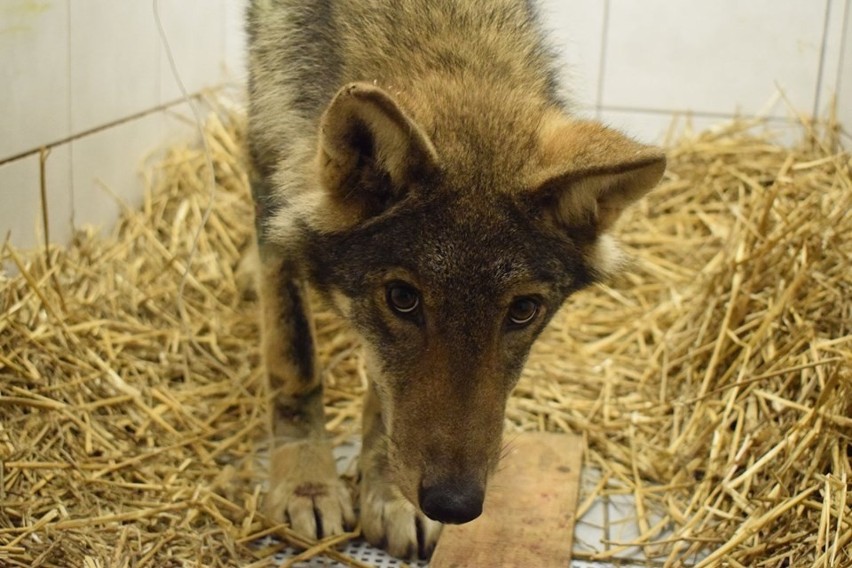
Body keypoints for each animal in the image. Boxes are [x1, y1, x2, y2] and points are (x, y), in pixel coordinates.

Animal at [246, 0, 664, 560]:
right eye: (403, 299)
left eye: (523, 310)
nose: (454, 505)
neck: (432, 31)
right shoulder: (269, 184)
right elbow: (294, 363)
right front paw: (306, 487)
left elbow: (381, 396)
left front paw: (390, 497)